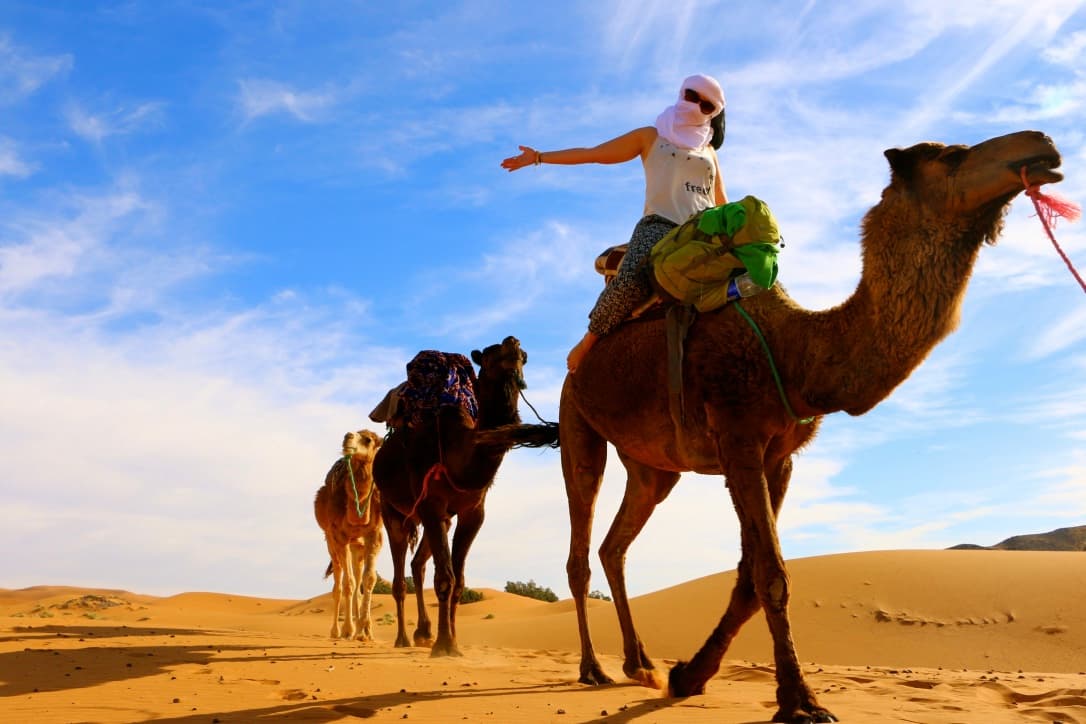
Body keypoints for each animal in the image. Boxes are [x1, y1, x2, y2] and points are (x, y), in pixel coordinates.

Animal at [313, 429, 384, 641]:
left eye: (368, 439)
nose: (347, 437)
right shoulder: (340, 537)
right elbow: (348, 584)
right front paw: (348, 630)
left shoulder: (374, 536)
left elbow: (368, 580)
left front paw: (365, 631)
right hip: (331, 542)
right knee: (338, 583)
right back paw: (336, 632)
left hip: (357, 547)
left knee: (357, 579)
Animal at [373, 336, 545, 657]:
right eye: (489, 354)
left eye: (525, 356)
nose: (513, 342)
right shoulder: (431, 504)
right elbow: (445, 578)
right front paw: (444, 646)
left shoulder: (472, 512)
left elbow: (459, 580)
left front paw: (452, 640)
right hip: (392, 511)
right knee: (400, 577)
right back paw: (403, 639)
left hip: (439, 518)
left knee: (417, 565)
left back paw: (423, 633)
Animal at [559, 130, 1063, 723]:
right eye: (951, 155)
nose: (1042, 144)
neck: (799, 354)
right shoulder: (738, 442)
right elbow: (772, 575)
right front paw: (800, 702)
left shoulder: (778, 457)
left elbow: (750, 578)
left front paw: (689, 675)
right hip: (577, 422)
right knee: (580, 543)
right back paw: (593, 668)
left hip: (654, 468)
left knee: (614, 544)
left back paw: (640, 665)